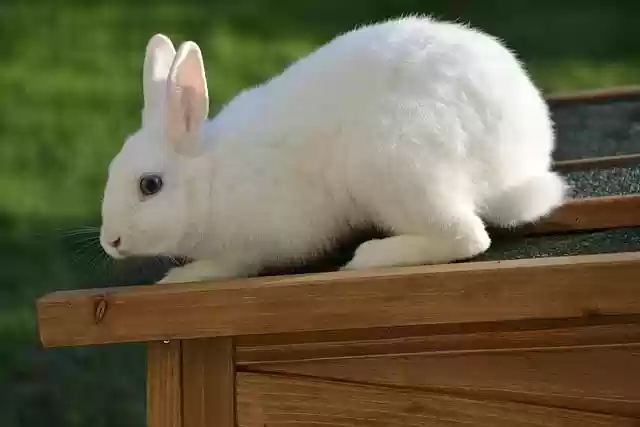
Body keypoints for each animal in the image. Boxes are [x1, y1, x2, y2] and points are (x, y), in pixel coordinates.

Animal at [99, 16, 567, 284]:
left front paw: (180, 277)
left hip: (397, 166)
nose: (111, 241)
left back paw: (370, 257)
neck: (213, 178)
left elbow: (231, 266)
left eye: (150, 185)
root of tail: (517, 167)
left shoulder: (255, 244)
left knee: (467, 236)